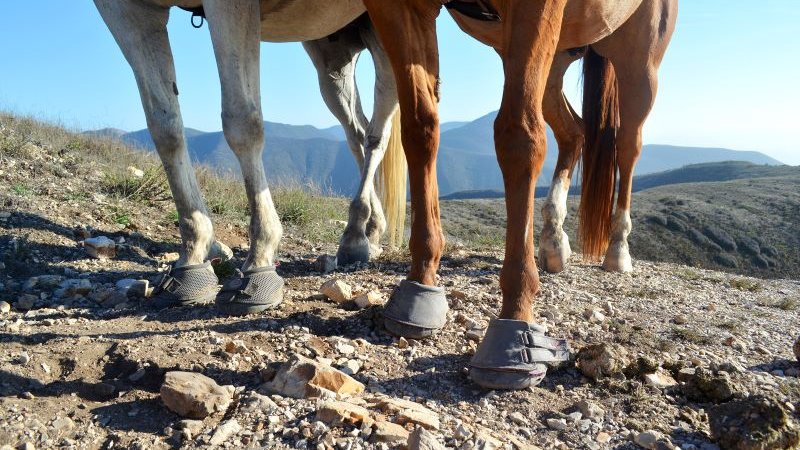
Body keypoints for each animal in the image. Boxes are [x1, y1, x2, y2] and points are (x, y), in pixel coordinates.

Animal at [93, 0, 407, 315]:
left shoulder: (234, 7)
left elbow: (242, 121)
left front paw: (260, 258)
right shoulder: (127, 10)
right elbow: (164, 127)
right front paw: (193, 256)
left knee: (378, 134)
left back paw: (356, 236)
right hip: (333, 53)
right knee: (357, 132)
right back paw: (368, 228)